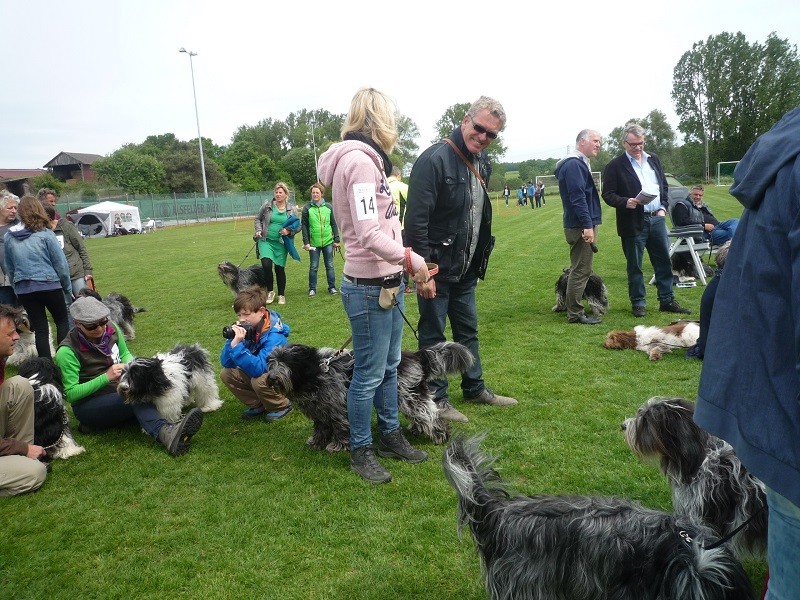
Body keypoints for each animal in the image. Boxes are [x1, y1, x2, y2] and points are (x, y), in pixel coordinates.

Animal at [268, 340, 476, 452]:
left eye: (286, 362)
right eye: (272, 362)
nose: (271, 378)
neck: (317, 373)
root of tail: (416, 356)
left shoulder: (338, 410)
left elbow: (341, 429)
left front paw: (338, 446)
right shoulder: (321, 412)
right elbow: (321, 429)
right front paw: (316, 442)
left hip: (408, 396)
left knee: (430, 415)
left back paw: (441, 435)